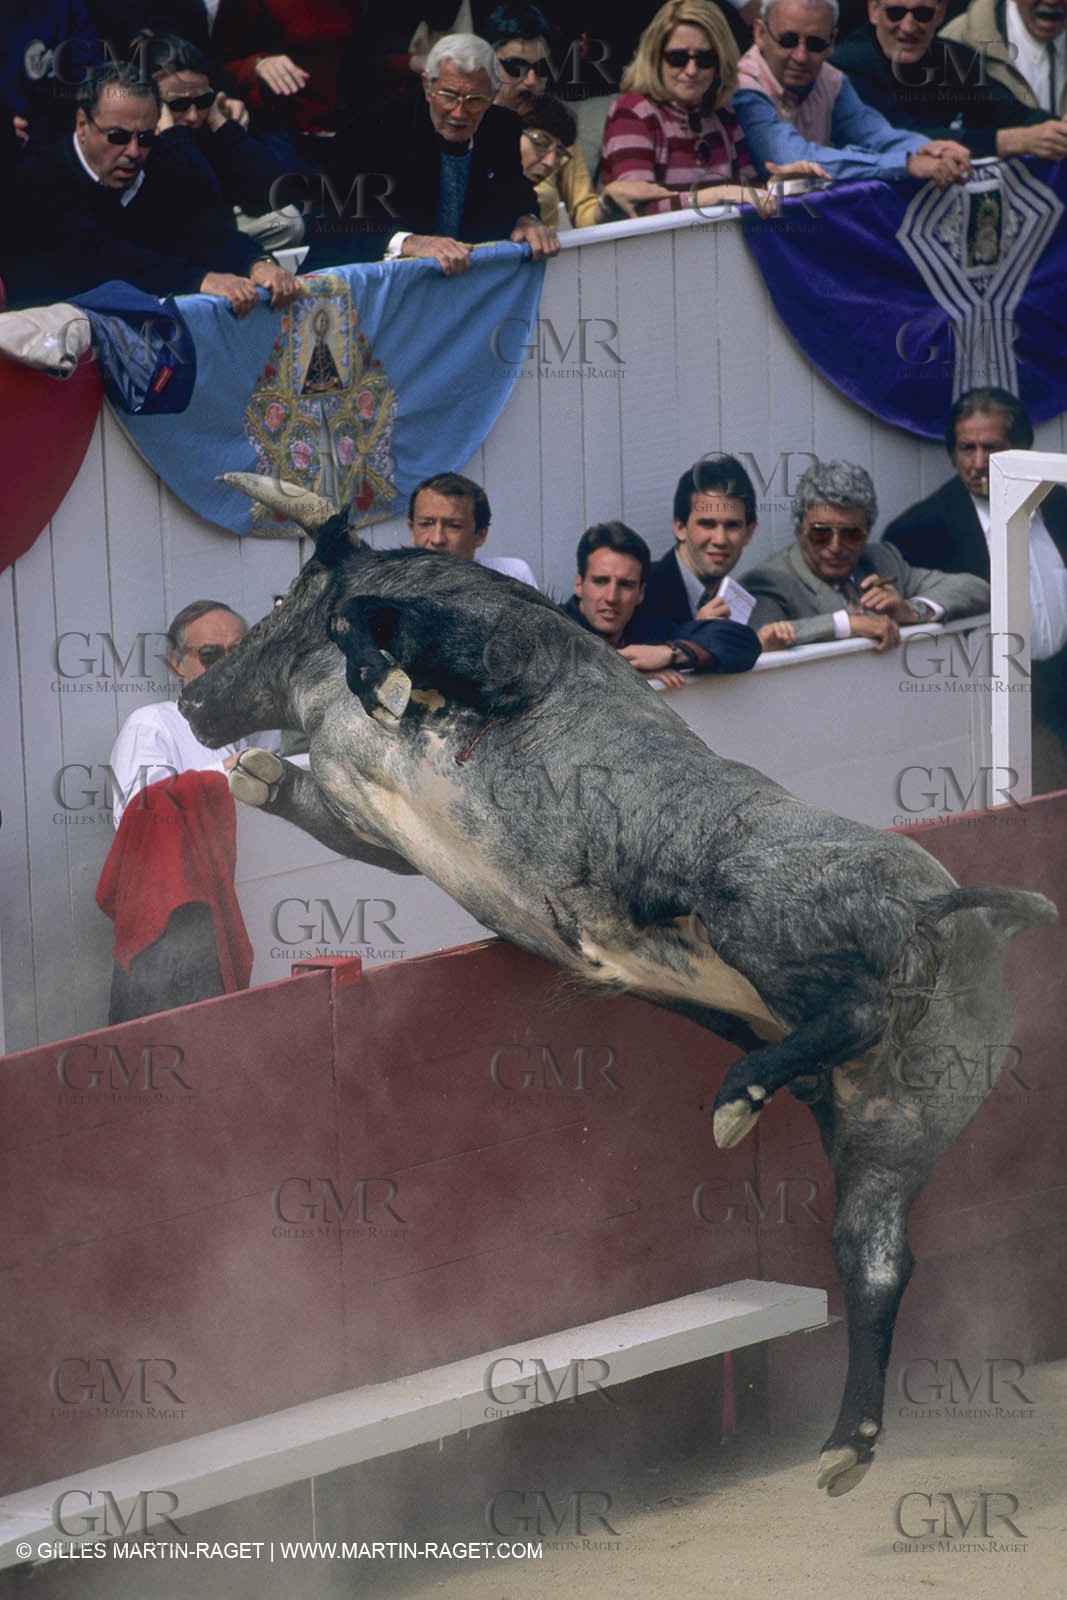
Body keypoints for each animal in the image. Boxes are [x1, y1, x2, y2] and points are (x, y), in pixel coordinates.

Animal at [180, 472, 1056, 1497]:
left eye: (282, 595)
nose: (193, 698)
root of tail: (948, 907)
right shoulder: (371, 828)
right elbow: (317, 802)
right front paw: (262, 770)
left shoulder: (500, 654)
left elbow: (376, 622)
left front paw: (372, 677)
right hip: (898, 1116)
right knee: (873, 1254)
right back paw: (847, 1440)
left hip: (746, 910)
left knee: (851, 1007)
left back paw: (738, 1098)